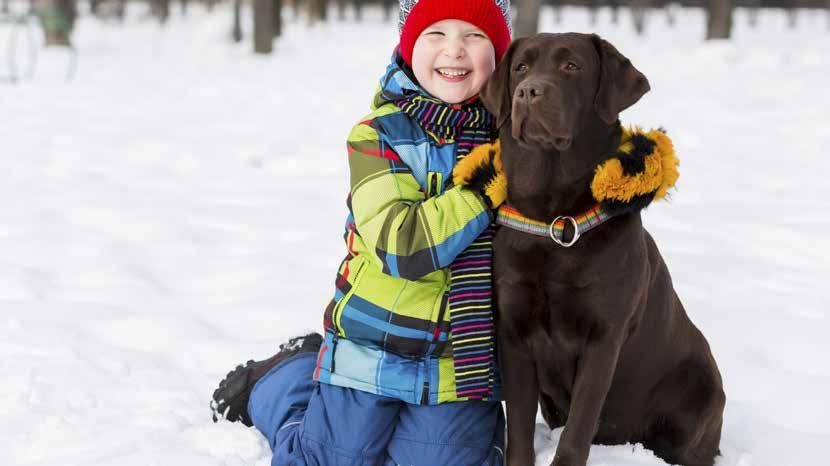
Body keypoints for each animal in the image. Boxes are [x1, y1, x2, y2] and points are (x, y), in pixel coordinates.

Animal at [484, 33, 724, 466]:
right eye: (521, 68)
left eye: (571, 67)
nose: (528, 92)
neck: (554, 219)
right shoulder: (513, 331)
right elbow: (520, 426)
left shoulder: (604, 337)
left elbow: (580, 423)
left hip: (698, 397)